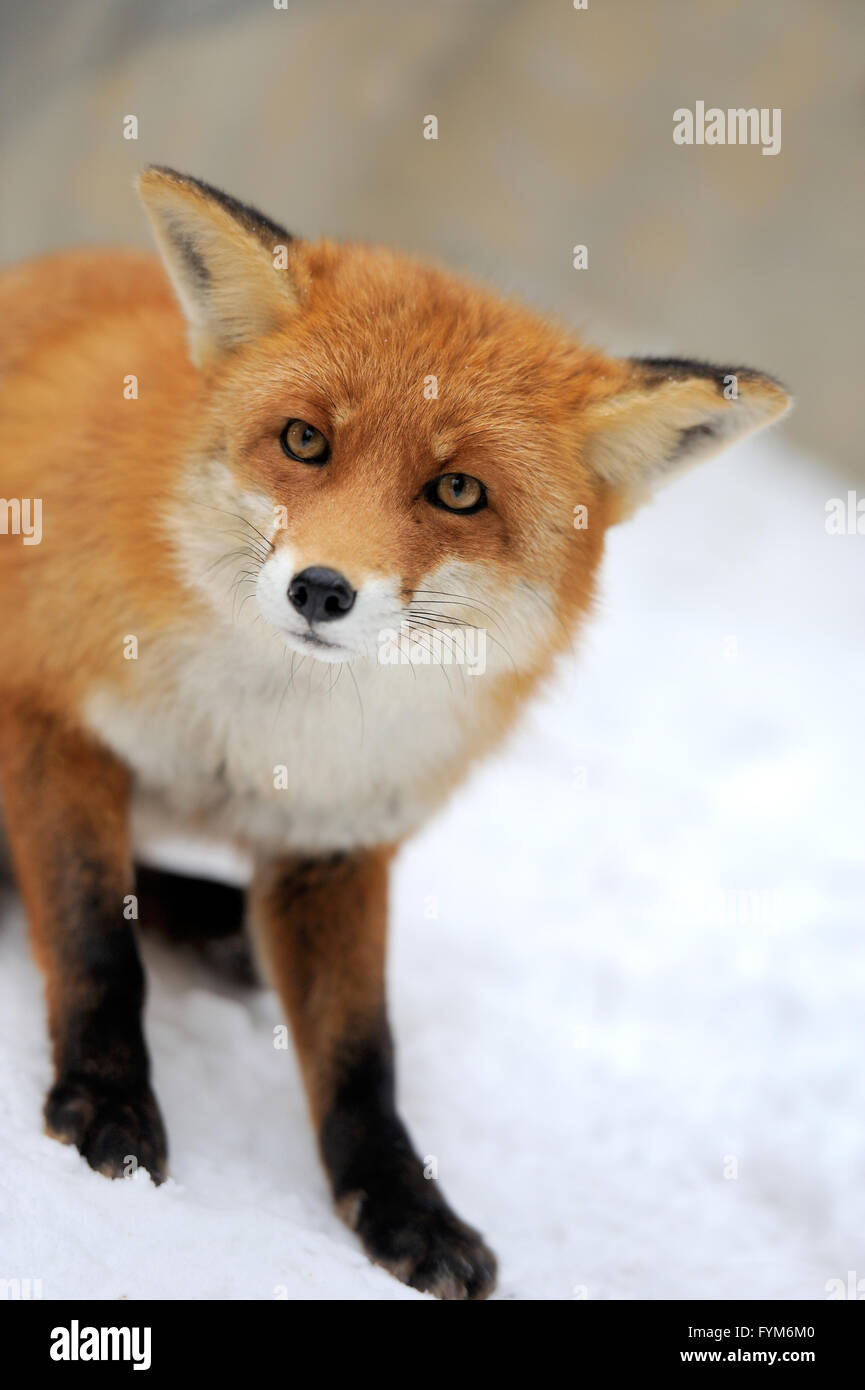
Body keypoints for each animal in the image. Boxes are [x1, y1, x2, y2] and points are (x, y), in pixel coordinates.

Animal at [0, 168, 795, 1295]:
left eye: (457, 490)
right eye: (304, 439)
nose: (320, 589)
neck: (258, 733)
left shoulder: (339, 838)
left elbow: (362, 1057)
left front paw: (403, 1207)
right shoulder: (53, 720)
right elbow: (93, 943)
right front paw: (107, 1106)